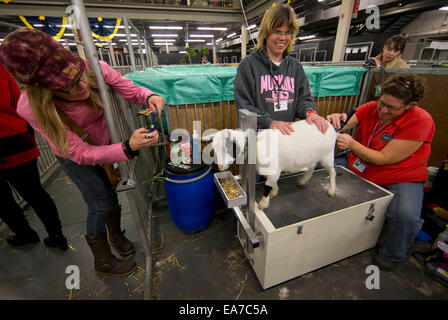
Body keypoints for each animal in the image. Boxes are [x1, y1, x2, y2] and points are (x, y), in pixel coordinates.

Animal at [203, 119, 336, 210]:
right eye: (214, 148)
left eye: (231, 148)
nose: (219, 167)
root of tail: (329, 125)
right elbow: (271, 182)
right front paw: (275, 191)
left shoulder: (274, 168)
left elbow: (267, 185)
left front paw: (263, 204)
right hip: (313, 156)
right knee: (312, 167)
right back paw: (303, 181)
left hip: (328, 154)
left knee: (332, 172)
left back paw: (332, 190)